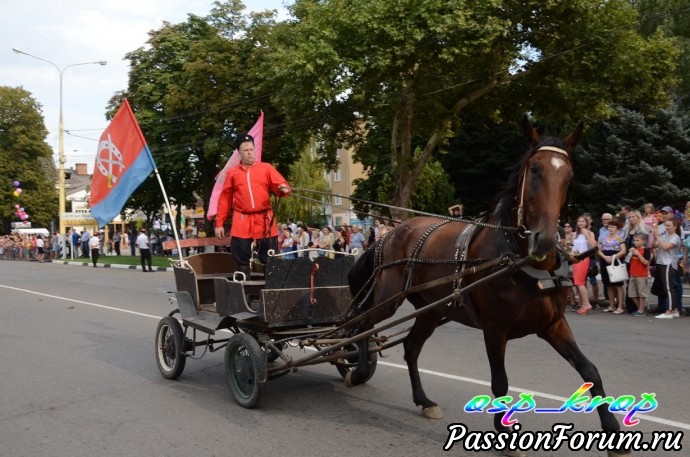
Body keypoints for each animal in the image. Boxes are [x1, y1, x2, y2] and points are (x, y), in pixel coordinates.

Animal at [346, 117, 632, 456]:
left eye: (568, 174)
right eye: (535, 169)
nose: (546, 240)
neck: (520, 260)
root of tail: (390, 232)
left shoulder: (553, 324)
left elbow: (590, 372)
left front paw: (613, 431)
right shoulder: (495, 328)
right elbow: (500, 382)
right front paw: (504, 433)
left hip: (430, 310)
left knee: (411, 347)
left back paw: (424, 400)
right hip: (388, 298)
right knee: (362, 324)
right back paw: (359, 369)